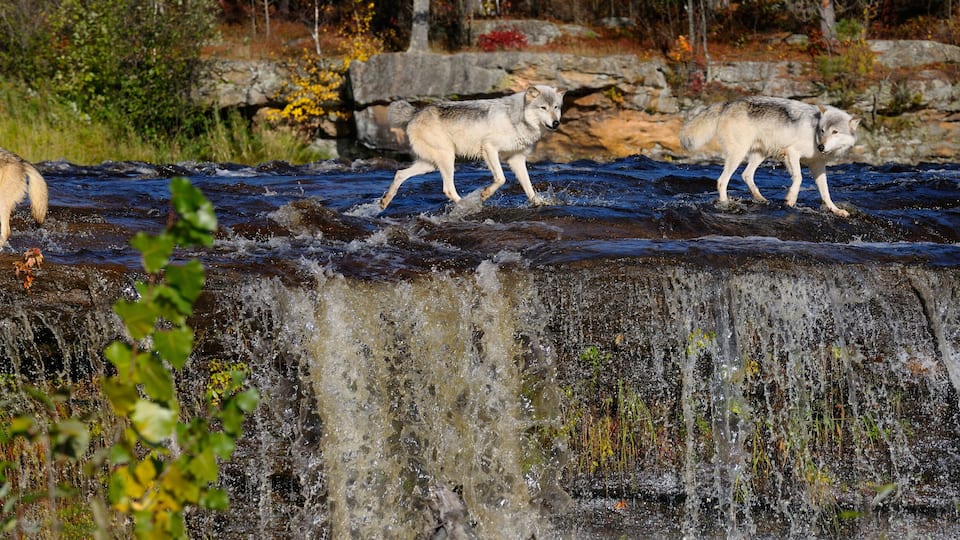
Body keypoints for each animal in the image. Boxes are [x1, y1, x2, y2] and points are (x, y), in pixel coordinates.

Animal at [379, 85, 565, 210]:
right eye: (543, 108)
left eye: (556, 107)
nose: (556, 123)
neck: (517, 119)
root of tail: (416, 112)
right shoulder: (489, 148)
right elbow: (501, 179)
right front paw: (485, 194)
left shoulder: (517, 160)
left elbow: (529, 187)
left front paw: (539, 203)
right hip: (447, 158)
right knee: (448, 189)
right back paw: (467, 205)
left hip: (430, 165)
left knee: (399, 173)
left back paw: (385, 201)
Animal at [679, 96, 860, 217]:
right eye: (823, 131)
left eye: (835, 132)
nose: (821, 146)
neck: (814, 134)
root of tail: (728, 103)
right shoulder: (792, 152)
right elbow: (799, 178)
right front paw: (790, 199)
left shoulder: (817, 166)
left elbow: (825, 192)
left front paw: (835, 210)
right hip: (739, 154)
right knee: (722, 181)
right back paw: (726, 204)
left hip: (760, 155)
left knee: (746, 175)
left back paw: (761, 199)